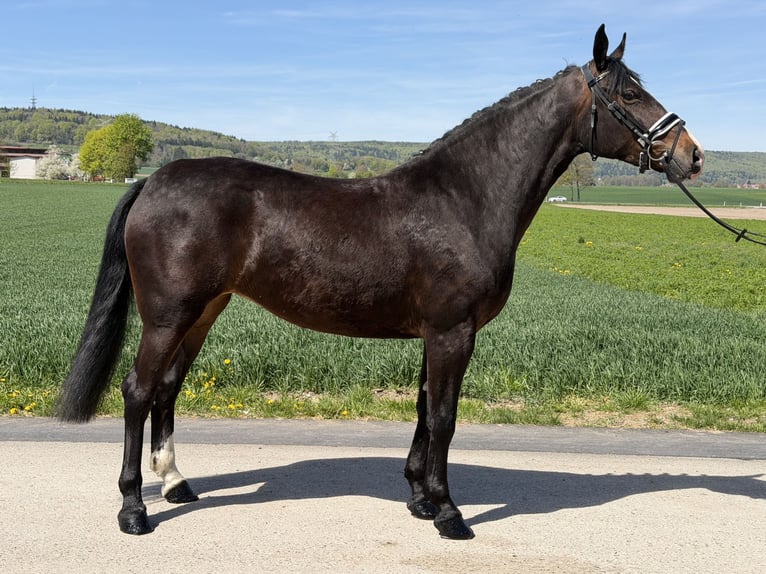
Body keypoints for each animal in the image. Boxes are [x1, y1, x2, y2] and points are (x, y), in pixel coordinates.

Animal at [57, 25, 704, 539]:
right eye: (630, 93)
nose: (692, 155)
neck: (463, 198)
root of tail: (154, 180)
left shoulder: (437, 333)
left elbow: (423, 409)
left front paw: (419, 498)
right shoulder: (452, 332)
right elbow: (444, 417)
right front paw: (449, 514)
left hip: (204, 310)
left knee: (167, 389)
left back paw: (175, 484)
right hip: (168, 315)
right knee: (138, 391)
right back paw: (134, 509)